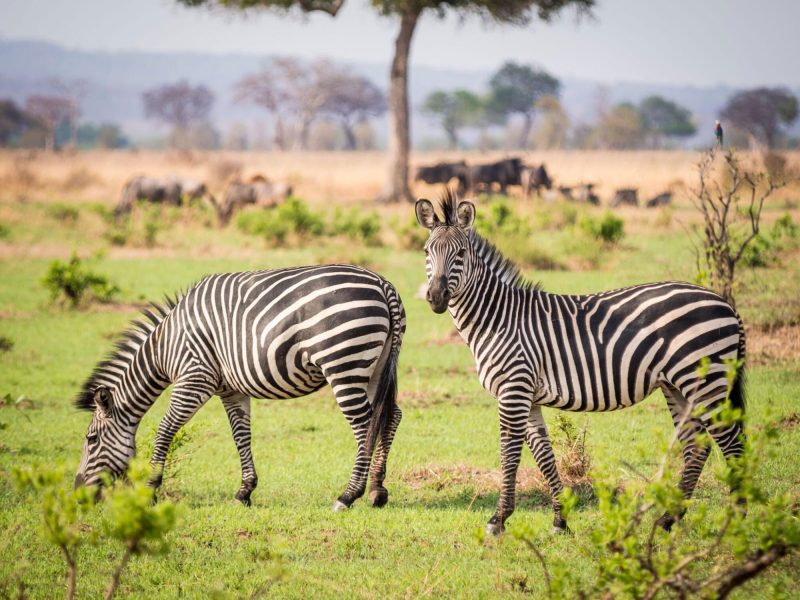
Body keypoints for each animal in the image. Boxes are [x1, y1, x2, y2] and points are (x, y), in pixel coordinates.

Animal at [75, 264, 406, 508]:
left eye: (91, 439)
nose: (78, 495)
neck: (165, 347)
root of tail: (383, 284)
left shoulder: (194, 378)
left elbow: (165, 429)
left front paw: (150, 488)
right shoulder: (230, 389)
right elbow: (240, 435)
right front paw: (245, 490)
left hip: (343, 364)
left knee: (365, 425)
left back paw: (348, 495)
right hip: (375, 367)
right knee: (390, 417)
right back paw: (377, 490)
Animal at [416, 192, 748, 536]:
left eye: (460, 253)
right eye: (427, 251)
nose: (436, 297)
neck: (496, 318)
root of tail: (725, 302)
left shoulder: (513, 390)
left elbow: (509, 454)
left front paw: (498, 520)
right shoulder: (529, 397)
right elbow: (544, 455)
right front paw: (560, 521)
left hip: (707, 381)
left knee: (731, 442)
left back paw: (736, 518)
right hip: (679, 386)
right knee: (698, 447)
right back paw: (669, 519)